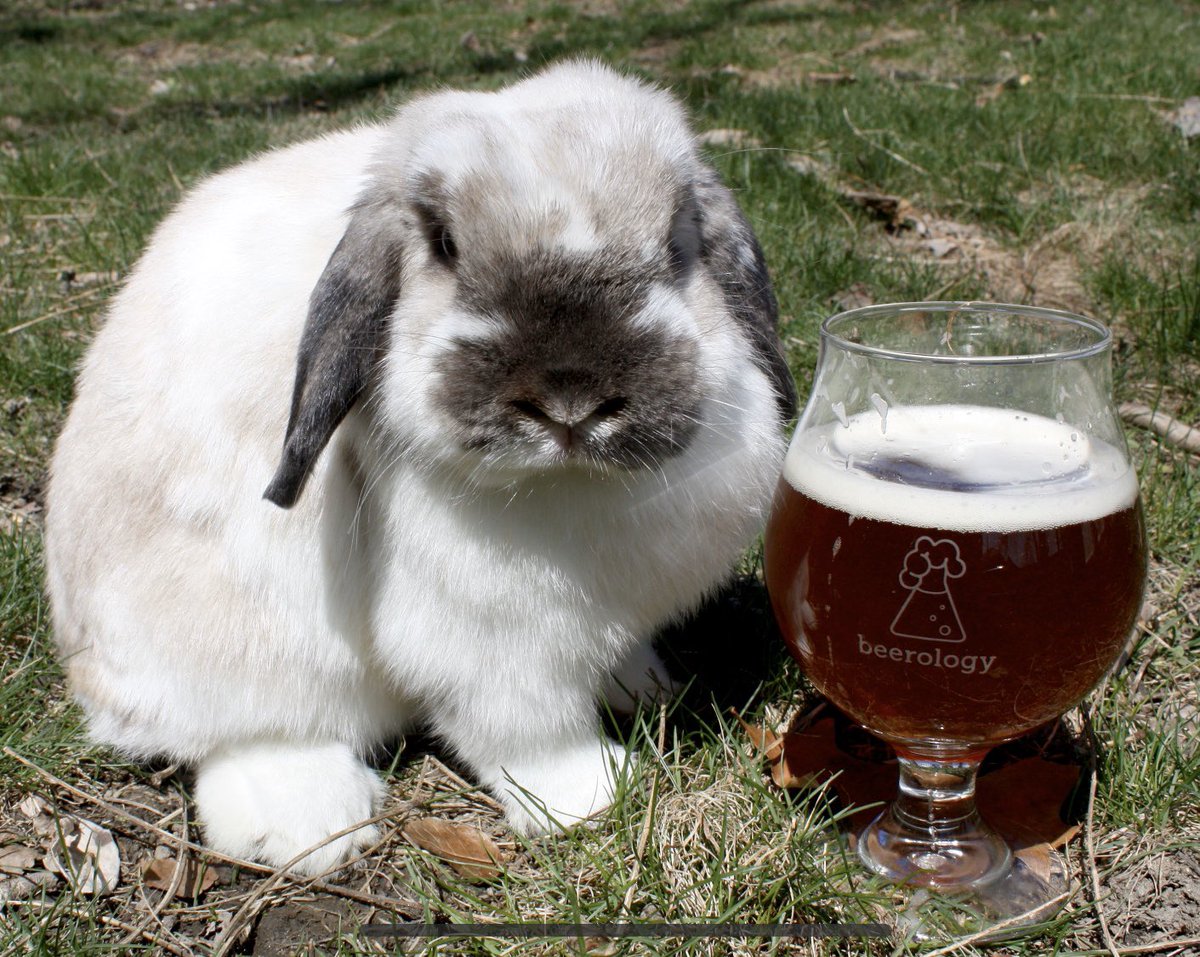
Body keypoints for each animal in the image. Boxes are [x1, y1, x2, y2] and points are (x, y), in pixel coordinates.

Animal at [44, 59, 798, 876]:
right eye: (443, 243)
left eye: (676, 242)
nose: (569, 401)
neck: (569, 484)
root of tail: (83, 661)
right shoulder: (496, 645)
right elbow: (528, 730)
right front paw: (592, 797)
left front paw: (643, 686)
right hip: (228, 648)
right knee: (236, 732)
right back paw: (313, 822)